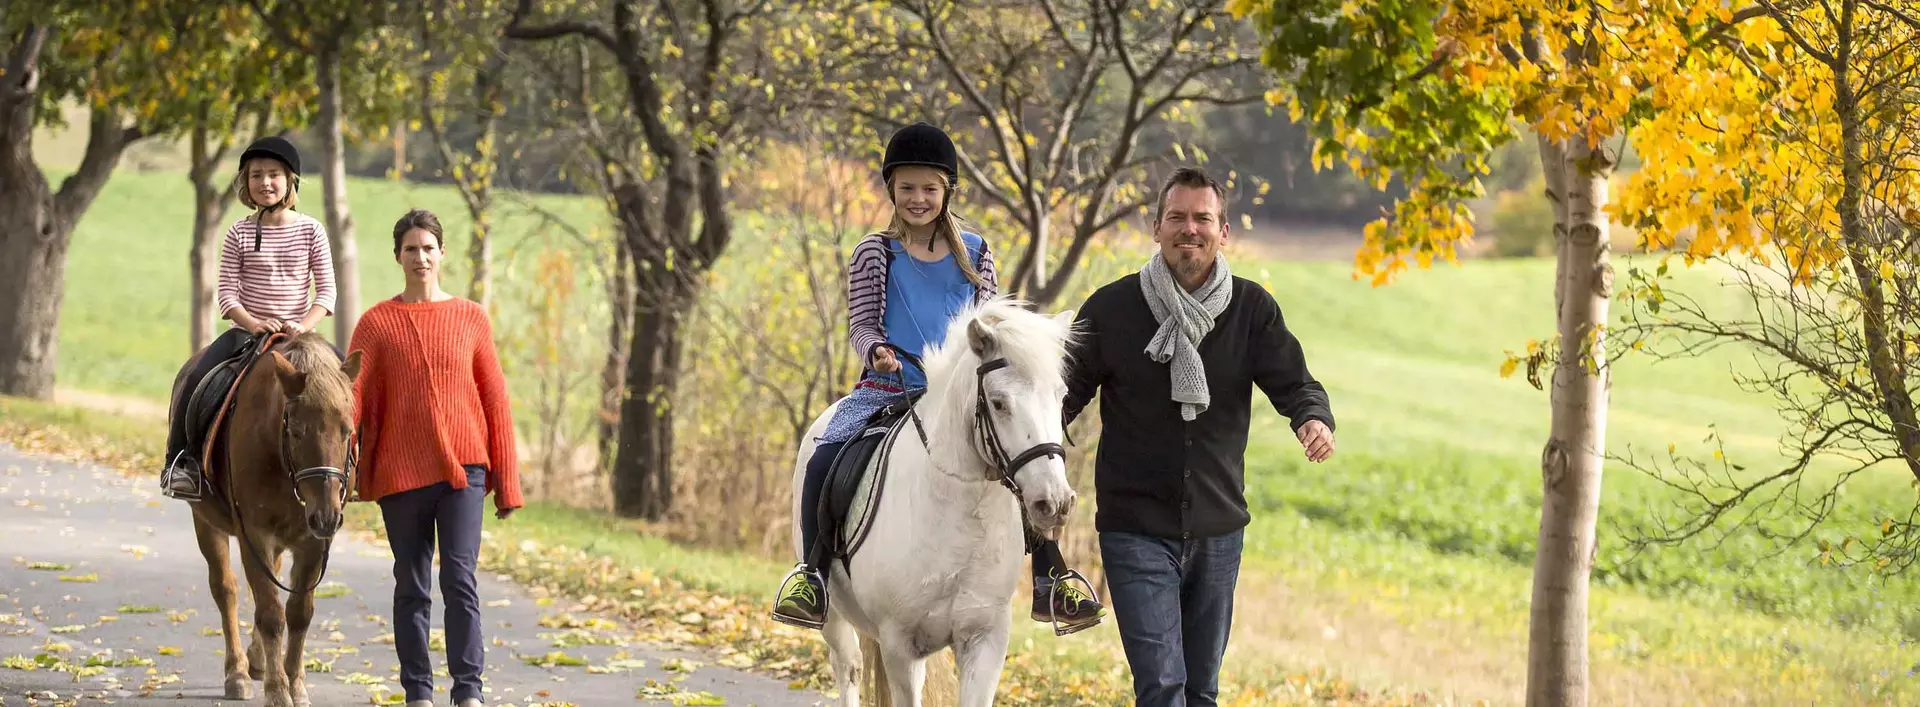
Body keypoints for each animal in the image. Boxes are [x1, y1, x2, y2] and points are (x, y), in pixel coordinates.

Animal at [168, 332, 360, 707]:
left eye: (347, 430)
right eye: (297, 431)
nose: (327, 516)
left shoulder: (313, 541)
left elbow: (299, 613)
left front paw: (296, 684)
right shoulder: (254, 534)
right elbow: (271, 613)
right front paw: (278, 691)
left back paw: (256, 661)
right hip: (206, 523)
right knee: (226, 589)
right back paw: (238, 673)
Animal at [783, 299, 1082, 707]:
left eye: (1061, 397)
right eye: (999, 403)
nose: (1054, 502)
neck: (961, 516)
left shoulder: (984, 639)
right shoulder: (900, 644)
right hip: (835, 618)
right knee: (849, 668)